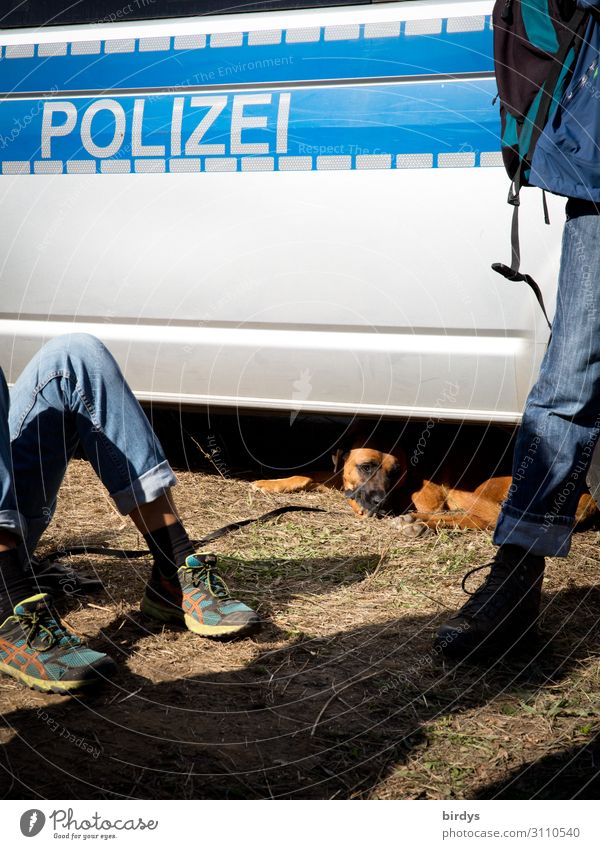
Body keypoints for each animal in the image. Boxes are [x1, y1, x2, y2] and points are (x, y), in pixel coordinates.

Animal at [251, 428, 596, 532]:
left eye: (395, 471)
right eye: (366, 466)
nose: (381, 503)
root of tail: (585, 494)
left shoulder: (431, 497)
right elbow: (310, 474)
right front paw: (271, 483)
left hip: (464, 489)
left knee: (483, 519)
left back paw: (415, 521)